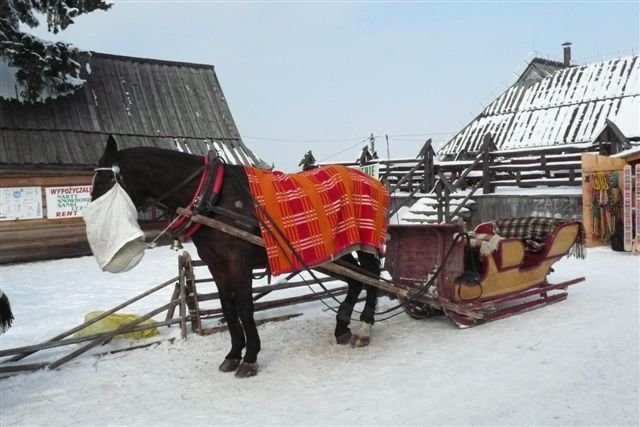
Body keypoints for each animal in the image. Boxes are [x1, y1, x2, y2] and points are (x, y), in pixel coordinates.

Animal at [90, 136, 390, 378]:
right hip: (333, 251)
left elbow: (245, 309)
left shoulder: (239, 264)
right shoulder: (217, 266)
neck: (213, 196)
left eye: (104, 180)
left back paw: (364, 327)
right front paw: (233, 354)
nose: (88, 217)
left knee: (372, 277)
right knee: (357, 280)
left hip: (363, 243)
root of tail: (374, 180)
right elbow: (228, 308)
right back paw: (342, 327)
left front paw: (250, 357)